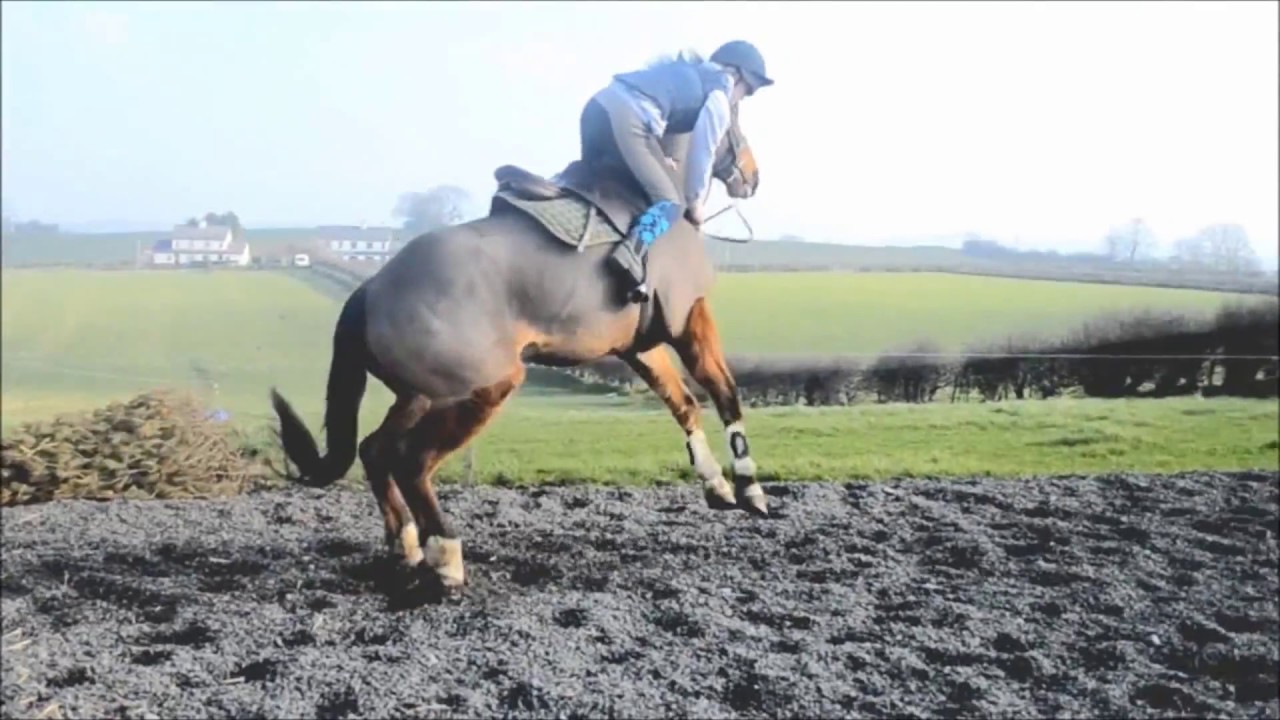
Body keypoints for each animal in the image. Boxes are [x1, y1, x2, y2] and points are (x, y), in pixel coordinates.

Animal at [269, 117, 766, 591]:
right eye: (735, 123)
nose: (751, 175)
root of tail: (372, 287)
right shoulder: (689, 317)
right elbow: (723, 389)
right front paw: (748, 486)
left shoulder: (635, 347)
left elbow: (683, 402)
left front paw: (717, 484)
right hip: (482, 388)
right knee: (411, 461)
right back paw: (445, 556)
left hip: (418, 396)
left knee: (376, 450)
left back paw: (405, 545)